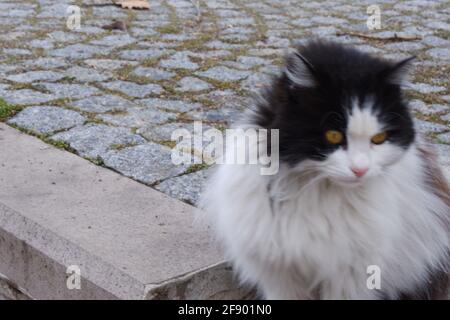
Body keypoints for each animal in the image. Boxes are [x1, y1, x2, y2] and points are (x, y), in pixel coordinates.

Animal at [201, 40, 450, 300]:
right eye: (333, 136)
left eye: (379, 138)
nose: (360, 170)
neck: (317, 190)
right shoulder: (279, 273)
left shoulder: (350, 275)